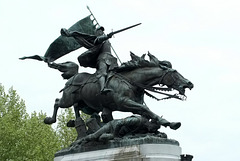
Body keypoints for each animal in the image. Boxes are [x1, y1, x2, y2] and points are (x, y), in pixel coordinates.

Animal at [43, 52, 193, 130]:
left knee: (77, 107)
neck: (132, 83)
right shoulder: (124, 103)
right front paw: (166, 122)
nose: (189, 83)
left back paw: (74, 121)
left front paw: (167, 123)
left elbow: (146, 112)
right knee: (57, 102)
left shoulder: (131, 105)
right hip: (67, 99)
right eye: (175, 73)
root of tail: (73, 76)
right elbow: (146, 110)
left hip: (87, 103)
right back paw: (50, 120)